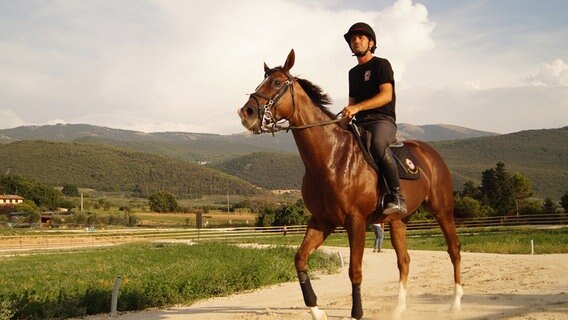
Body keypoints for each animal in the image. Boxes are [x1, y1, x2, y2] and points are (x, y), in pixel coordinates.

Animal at [237, 50, 464, 320]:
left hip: (443, 211)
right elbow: (300, 259)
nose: (246, 113)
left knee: (454, 250)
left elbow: (354, 270)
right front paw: (316, 311)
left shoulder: (355, 221)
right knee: (404, 261)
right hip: (399, 220)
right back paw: (398, 309)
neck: (331, 158)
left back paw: (455, 304)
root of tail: (431, 154)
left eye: (277, 82)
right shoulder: (321, 221)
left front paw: (357, 312)